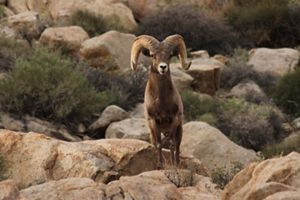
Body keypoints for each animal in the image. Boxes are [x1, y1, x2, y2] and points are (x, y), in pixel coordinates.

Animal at [130, 34, 191, 166]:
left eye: (169, 55)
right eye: (153, 55)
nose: (163, 67)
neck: (162, 102)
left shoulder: (174, 119)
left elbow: (171, 145)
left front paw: (173, 165)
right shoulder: (153, 121)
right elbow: (158, 144)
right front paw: (160, 165)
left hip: (179, 130)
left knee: (177, 146)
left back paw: (177, 162)